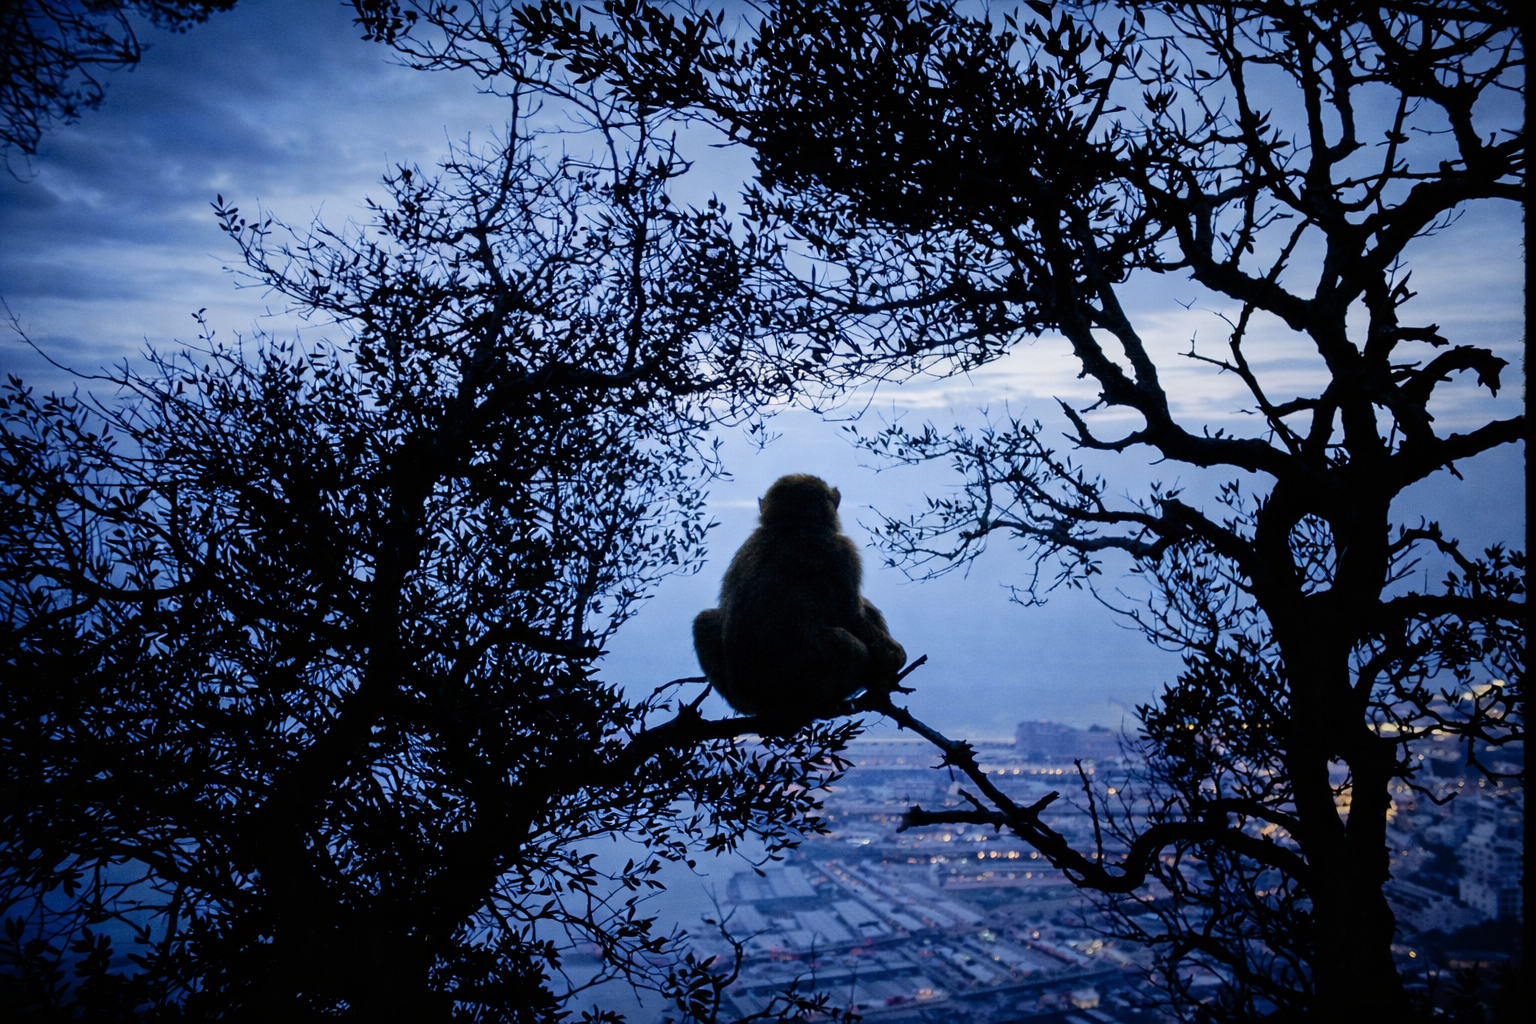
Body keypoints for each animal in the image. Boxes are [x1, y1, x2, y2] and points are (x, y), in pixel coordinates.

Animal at [692, 474, 906, 727]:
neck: (791, 525)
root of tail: (772, 706)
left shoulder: (745, 548)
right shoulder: (842, 551)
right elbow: (853, 616)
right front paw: (896, 658)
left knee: (704, 620)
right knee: (852, 647)